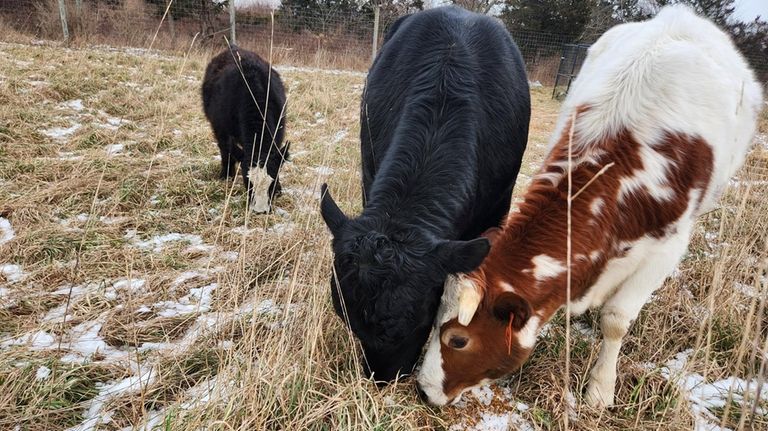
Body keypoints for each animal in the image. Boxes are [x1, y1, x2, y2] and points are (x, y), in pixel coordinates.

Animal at [202, 46, 290, 214]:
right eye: (247, 182)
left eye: (272, 182)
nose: (260, 211)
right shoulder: (221, 129)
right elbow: (227, 151)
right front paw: (226, 176)